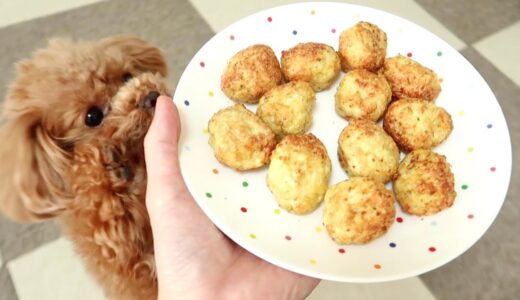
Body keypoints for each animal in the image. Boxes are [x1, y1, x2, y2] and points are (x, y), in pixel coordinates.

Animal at [0, 36, 170, 298]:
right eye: (92, 117)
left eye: (127, 76)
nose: (151, 95)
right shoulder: (115, 246)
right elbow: (103, 210)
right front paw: (102, 165)